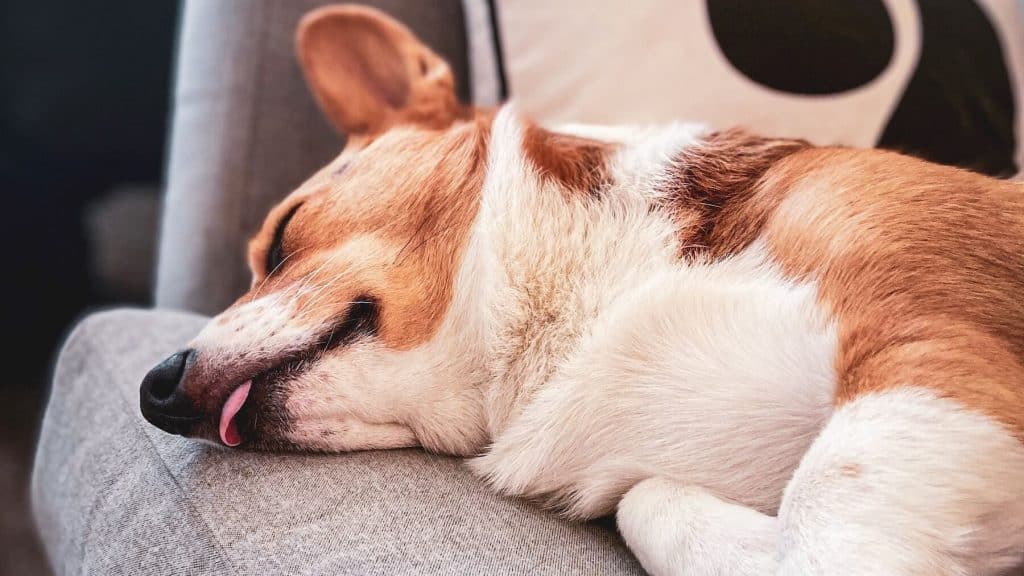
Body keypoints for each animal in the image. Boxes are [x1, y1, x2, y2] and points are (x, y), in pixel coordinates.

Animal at [140, 5, 1024, 575]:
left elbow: (829, 513)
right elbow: (654, 506)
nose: (156, 389)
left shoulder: (927, 339)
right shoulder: (648, 486)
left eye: (282, 235)